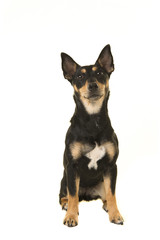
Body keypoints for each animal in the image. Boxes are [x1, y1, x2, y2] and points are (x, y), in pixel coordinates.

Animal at [58, 45, 124, 227]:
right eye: (79, 76)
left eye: (100, 73)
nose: (93, 85)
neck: (93, 120)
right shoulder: (72, 168)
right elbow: (73, 195)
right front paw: (71, 216)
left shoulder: (111, 167)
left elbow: (113, 193)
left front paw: (115, 214)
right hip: (64, 180)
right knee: (66, 196)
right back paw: (66, 205)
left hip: (102, 182)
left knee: (107, 195)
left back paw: (107, 205)